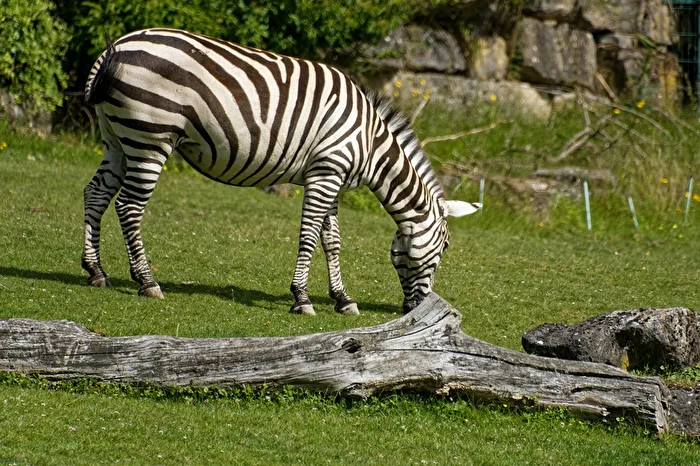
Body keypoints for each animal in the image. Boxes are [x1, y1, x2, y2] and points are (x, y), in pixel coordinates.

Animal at [82, 28, 481, 316]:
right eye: (445, 247)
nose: (416, 308)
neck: (370, 143)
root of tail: (115, 47)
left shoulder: (333, 180)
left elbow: (332, 242)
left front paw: (342, 299)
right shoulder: (325, 174)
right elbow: (309, 237)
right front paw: (302, 299)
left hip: (117, 138)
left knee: (96, 194)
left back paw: (96, 272)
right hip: (151, 136)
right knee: (129, 207)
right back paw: (147, 281)